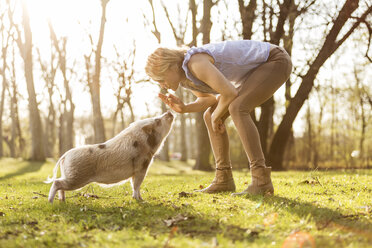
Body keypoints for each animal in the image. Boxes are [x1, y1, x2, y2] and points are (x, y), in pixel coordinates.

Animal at [45, 111, 174, 202]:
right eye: (157, 120)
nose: (169, 112)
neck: (144, 143)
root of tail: (65, 155)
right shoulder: (141, 167)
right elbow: (136, 185)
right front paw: (140, 200)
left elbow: (134, 185)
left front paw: (140, 199)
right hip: (76, 177)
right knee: (56, 182)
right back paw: (50, 202)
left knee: (60, 185)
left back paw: (62, 201)